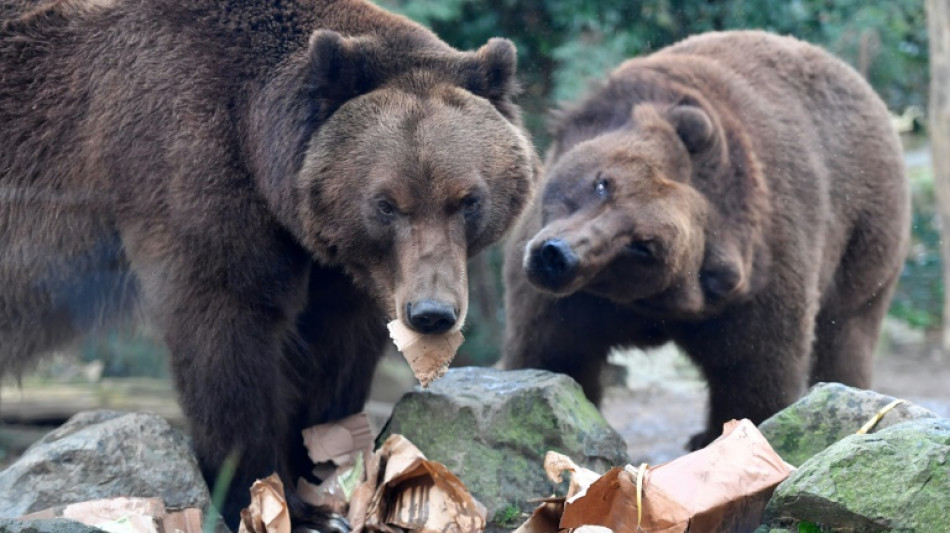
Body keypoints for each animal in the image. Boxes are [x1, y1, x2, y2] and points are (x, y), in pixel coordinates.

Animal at [0, 0, 536, 530]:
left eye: (467, 200)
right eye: (386, 204)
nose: (431, 313)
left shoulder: (339, 263)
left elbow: (334, 348)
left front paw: (323, 476)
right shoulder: (186, 160)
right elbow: (228, 335)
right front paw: (271, 499)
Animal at [502, 30, 909, 451]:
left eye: (642, 244)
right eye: (604, 182)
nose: (557, 256)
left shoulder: (756, 290)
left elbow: (756, 377)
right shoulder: (568, 299)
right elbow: (555, 354)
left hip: (864, 239)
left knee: (845, 335)